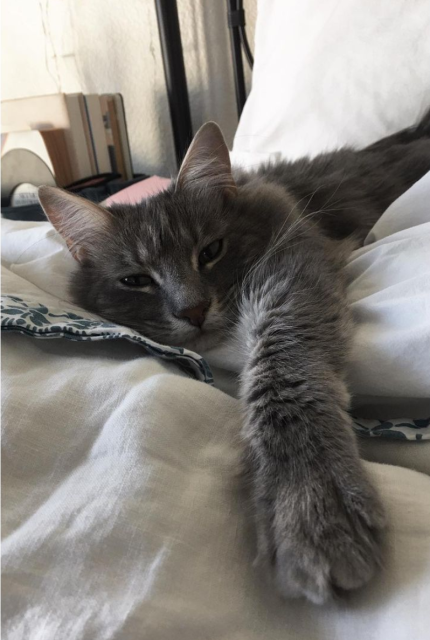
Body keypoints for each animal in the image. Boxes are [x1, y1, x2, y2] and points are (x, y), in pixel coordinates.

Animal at [38, 111, 430, 604]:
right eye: (136, 280)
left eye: (210, 252)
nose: (193, 311)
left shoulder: (290, 267)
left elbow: (282, 377)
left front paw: (308, 498)